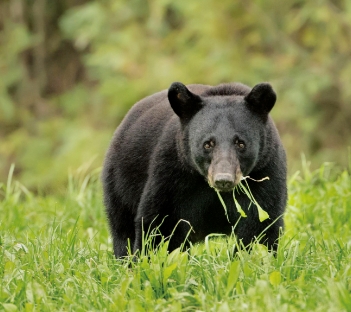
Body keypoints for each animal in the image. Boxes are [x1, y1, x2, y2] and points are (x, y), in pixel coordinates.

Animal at [101, 81, 286, 258]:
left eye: (240, 143)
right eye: (208, 144)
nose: (223, 180)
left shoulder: (265, 172)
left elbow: (260, 225)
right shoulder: (172, 173)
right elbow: (160, 222)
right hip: (120, 182)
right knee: (122, 229)